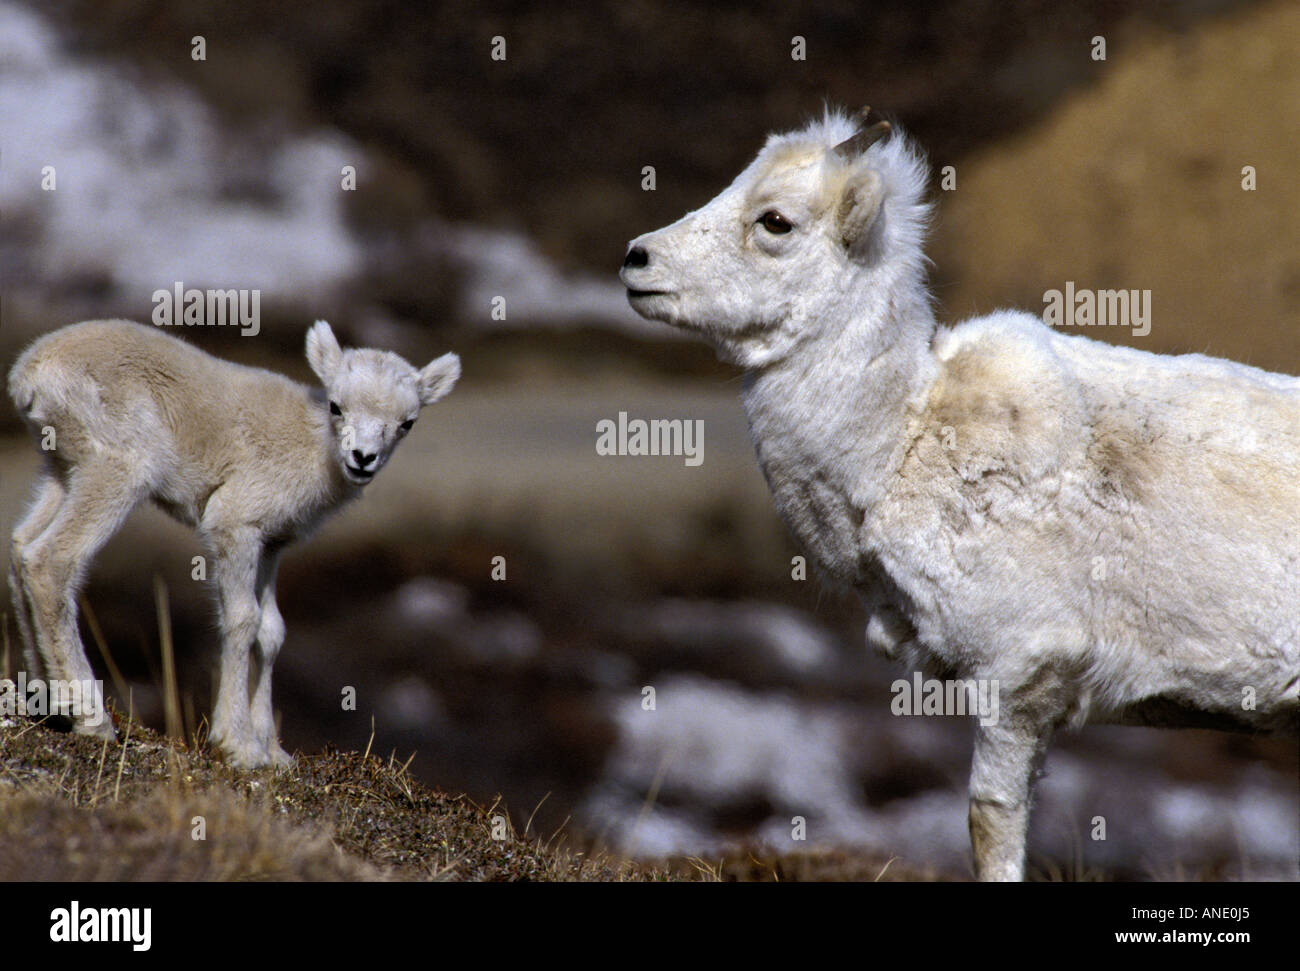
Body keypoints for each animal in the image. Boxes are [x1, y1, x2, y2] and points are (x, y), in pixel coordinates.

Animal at [7, 319, 460, 769]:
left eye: (407, 422)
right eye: (336, 406)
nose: (362, 458)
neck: (312, 450)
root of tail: (30, 373)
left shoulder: (272, 545)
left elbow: (272, 631)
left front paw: (274, 753)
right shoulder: (234, 525)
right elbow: (244, 620)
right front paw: (238, 746)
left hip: (64, 470)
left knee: (21, 547)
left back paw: (51, 698)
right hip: (117, 471)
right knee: (52, 560)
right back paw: (92, 718)